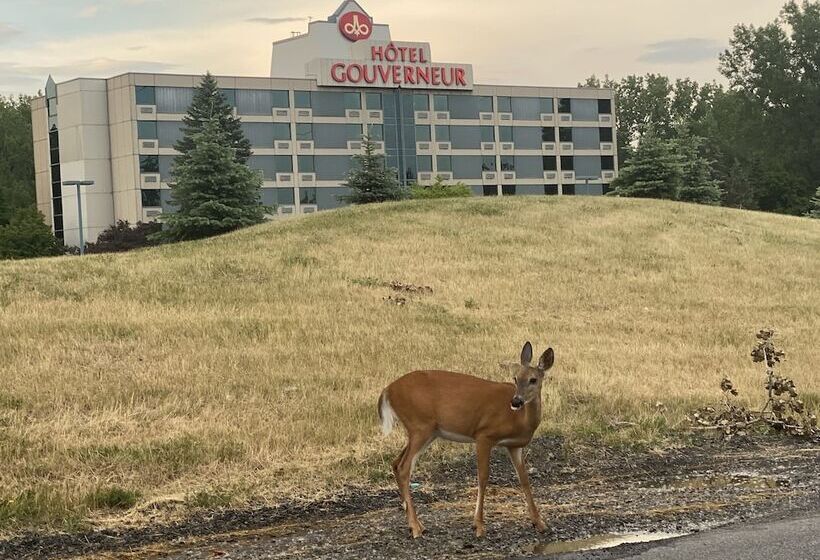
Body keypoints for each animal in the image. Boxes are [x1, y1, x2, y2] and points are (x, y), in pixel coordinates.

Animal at [376, 342, 556, 540]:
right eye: (515, 378)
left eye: (533, 380)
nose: (516, 401)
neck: (519, 419)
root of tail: (387, 390)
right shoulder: (484, 435)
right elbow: (483, 477)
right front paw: (478, 526)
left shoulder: (514, 446)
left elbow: (524, 479)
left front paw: (540, 523)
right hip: (420, 426)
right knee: (403, 467)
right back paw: (416, 527)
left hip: (425, 431)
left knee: (396, 462)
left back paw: (415, 524)